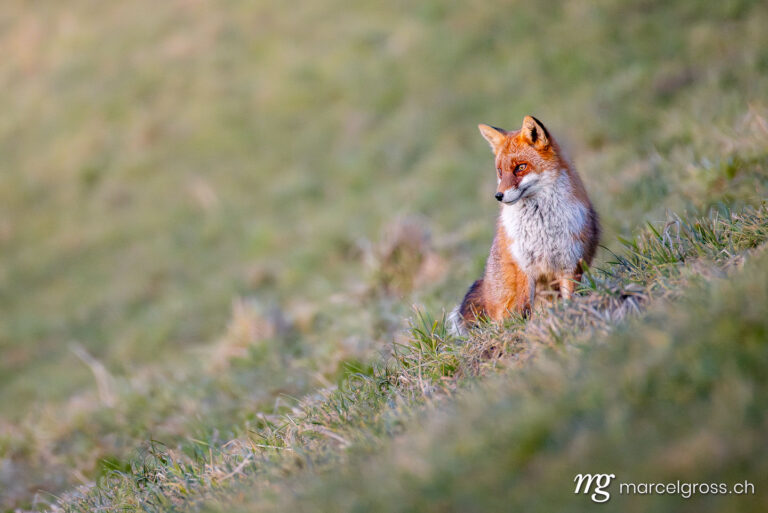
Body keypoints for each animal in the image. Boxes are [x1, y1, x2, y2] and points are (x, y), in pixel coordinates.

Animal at [450, 115, 600, 332]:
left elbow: (570, 299)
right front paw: (525, 330)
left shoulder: (570, 263)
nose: (498, 196)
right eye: (500, 171)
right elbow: (524, 309)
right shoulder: (524, 265)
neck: (542, 229)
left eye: (520, 167)